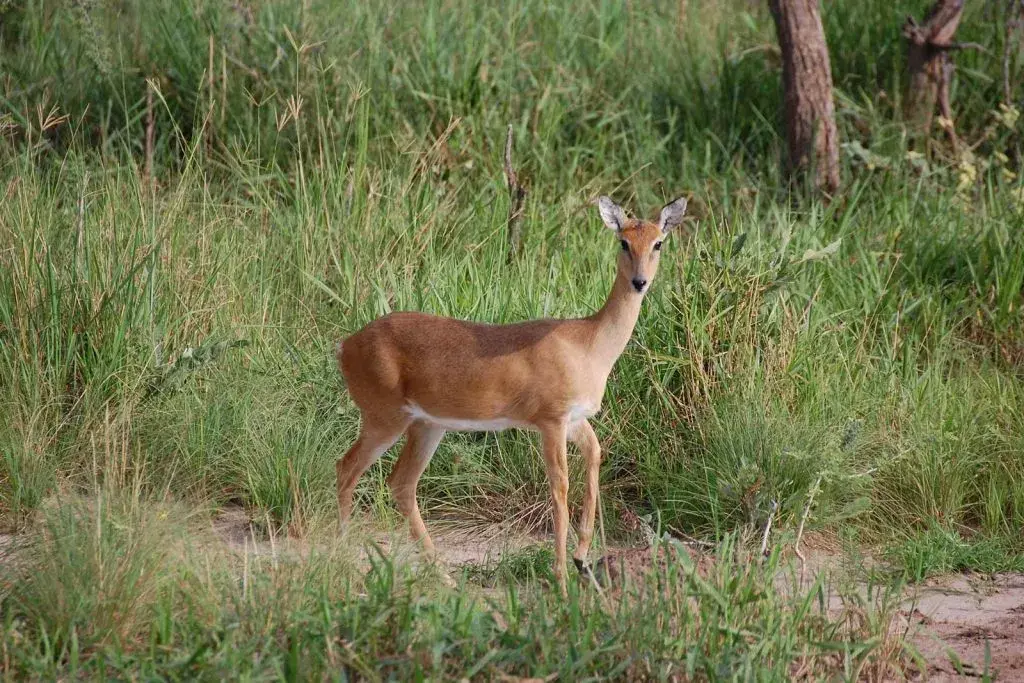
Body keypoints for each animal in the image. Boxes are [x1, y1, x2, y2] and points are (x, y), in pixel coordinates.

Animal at [335, 193, 688, 593]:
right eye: (623, 242)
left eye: (659, 242)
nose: (639, 282)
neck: (588, 344)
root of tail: (346, 345)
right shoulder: (551, 421)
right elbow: (559, 488)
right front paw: (561, 577)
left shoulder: (575, 421)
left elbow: (595, 457)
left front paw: (582, 557)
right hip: (384, 420)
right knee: (347, 469)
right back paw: (347, 564)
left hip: (427, 426)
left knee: (401, 484)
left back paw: (444, 577)